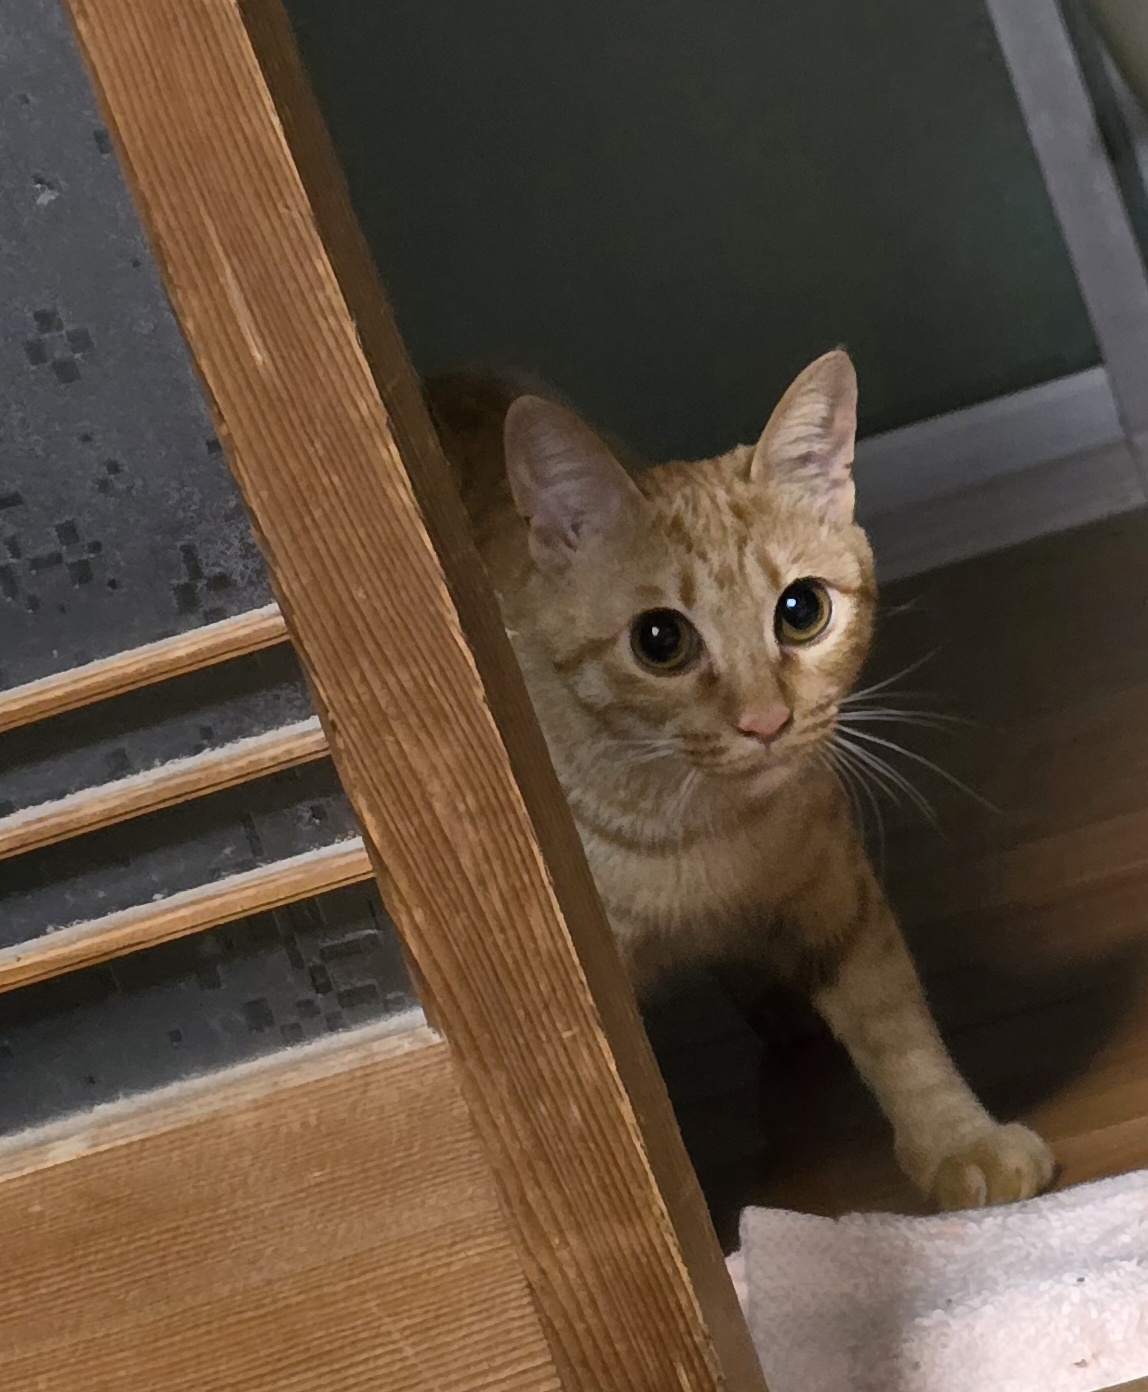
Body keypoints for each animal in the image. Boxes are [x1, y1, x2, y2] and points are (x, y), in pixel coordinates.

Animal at [426, 351, 1055, 1211]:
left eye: (802, 609)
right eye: (659, 640)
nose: (766, 722)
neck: (703, 831)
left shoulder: (838, 892)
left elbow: (895, 1023)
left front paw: (959, 1138)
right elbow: (636, 1120)